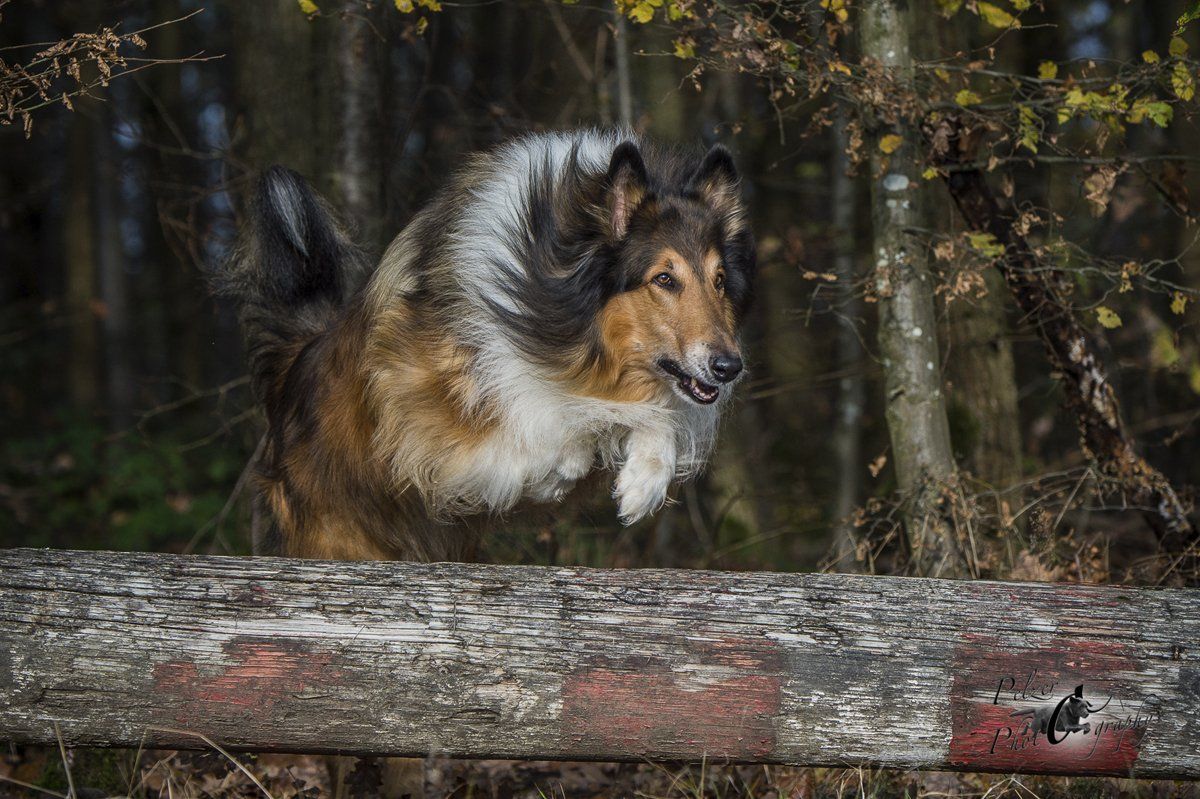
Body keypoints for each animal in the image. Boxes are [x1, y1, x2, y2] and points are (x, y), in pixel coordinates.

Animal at [220, 129, 756, 560]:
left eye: (719, 281)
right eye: (664, 279)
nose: (729, 367)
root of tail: (297, 360)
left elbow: (647, 418)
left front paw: (643, 481)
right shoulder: (430, 433)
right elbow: (561, 424)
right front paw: (566, 464)